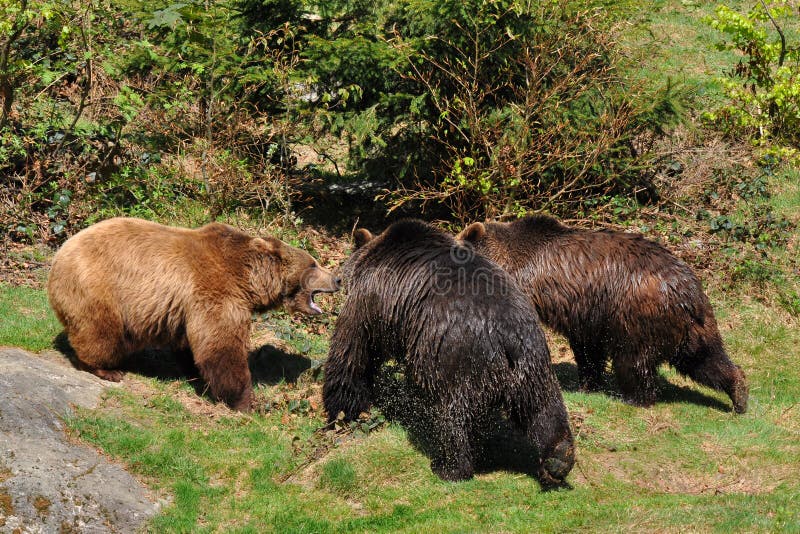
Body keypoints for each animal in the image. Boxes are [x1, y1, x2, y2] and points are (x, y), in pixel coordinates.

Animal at [320, 220, 576, 488]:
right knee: (542, 406)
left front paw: (341, 410)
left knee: (453, 415)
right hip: (532, 359)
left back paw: (449, 467)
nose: (336, 279)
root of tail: (506, 332)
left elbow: (353, 348)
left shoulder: (372, 301)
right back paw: (558, 458)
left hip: (457, 357)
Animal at [460, 216, 748, 416]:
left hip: (635, 314)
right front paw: (589, 383)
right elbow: (588, 351)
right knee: (705, 359)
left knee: (633, 360)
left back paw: (634, 398)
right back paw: (739, 393)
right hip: (693, 327)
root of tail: (688, 290)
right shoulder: (587, 316)